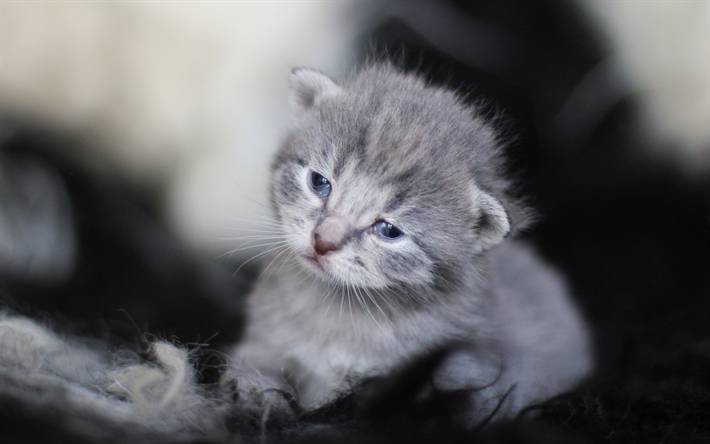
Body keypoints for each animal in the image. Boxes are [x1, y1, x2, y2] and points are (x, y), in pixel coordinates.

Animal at [234, 64, 596, 422]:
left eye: (389, 230)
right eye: (319, 182)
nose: (323, 241)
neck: (336, 308)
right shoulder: (258, 347)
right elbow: (253, 379)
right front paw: (265, 406)